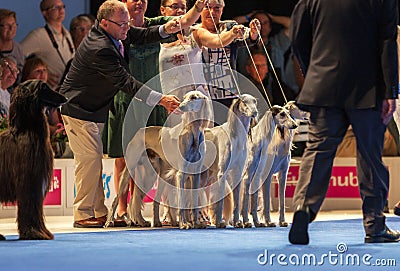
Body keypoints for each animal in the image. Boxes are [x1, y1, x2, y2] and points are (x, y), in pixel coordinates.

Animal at [0, 79, 67, 241]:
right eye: (43, 87)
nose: (65, 98)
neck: (27, 132)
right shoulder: (30, 181)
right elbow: (30, 207)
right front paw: (34, 232)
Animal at [105, 91, 212, 227]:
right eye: (184, 98)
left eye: (193, 97)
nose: (181, 106)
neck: (193, 133)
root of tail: (140, 131)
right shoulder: (180, 174)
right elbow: (181, 201)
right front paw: (184, 223)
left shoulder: (195, 174)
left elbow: (193, 201)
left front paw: (196, 223)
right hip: (130, 170)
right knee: (117, 199)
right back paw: (110, 221)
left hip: (152, 176)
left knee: (140, 199)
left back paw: (147, 221)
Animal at [203, 94, 260, 228]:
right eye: (244, 102)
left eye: (254, 101)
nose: (255, 112)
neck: (236, 136)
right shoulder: (222, 173)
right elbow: (220, 200)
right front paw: (219, 222)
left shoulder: (238, 173)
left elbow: (237, 201)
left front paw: (237, 222)